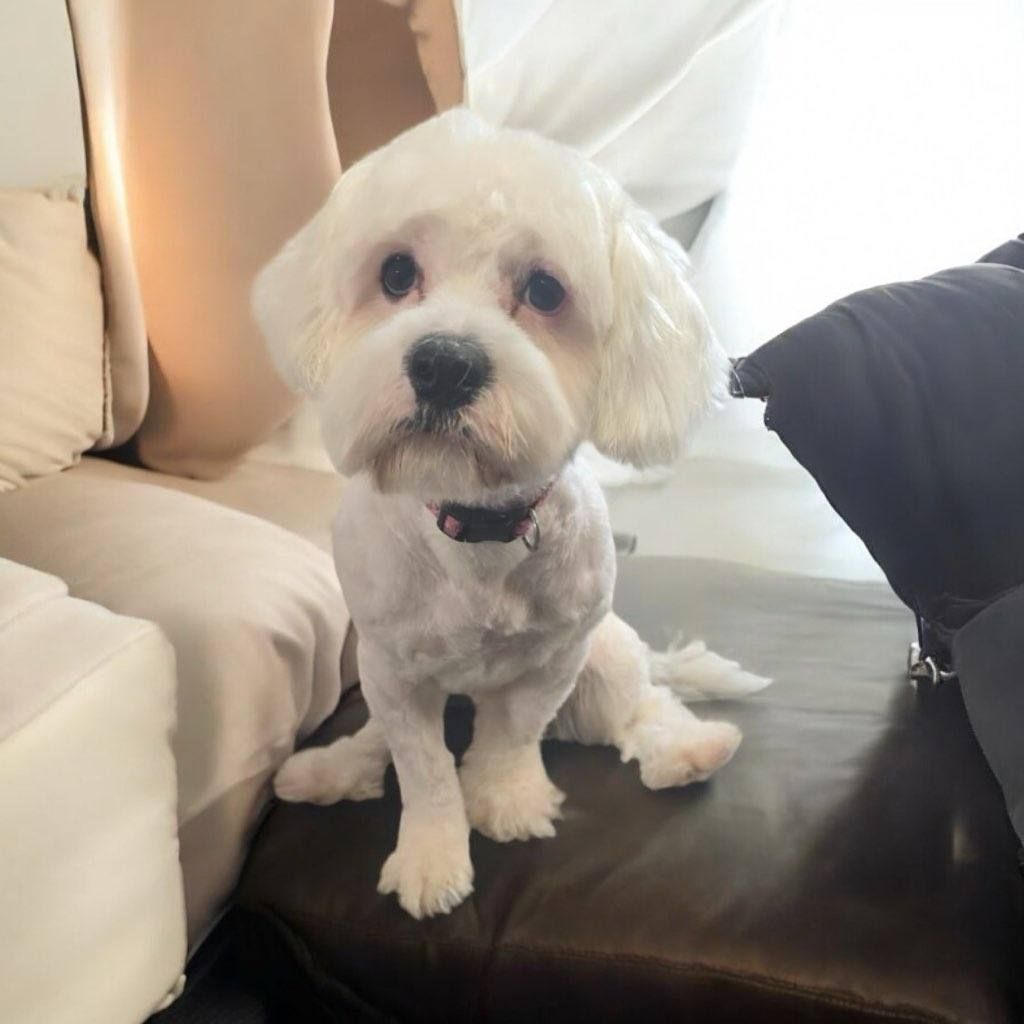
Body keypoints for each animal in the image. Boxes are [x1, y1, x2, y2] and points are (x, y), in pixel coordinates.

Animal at [256, 110, 770, 921]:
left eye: (545, 290)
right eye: (395, 274)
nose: (443, 363)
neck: (477, 529)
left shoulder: (557, 658)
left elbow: (512, 736)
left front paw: (506, 801)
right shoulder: (393, 673)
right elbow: (424, 767)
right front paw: (433, 857)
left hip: (608, 652)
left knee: (639, 706)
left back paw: (689, 751)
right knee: (375, 745)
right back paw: (331, 769)